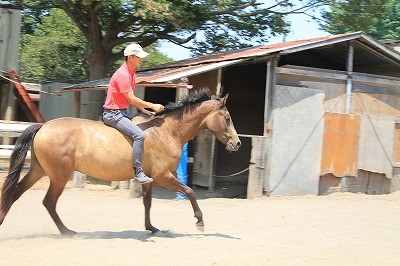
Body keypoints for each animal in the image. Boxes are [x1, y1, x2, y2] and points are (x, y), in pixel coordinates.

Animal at [0, 88, 241, 235]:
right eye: (227, 118)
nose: (237, 143)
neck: (166, 131)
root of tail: (43, 126)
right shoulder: (163, 176)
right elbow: (190, 192)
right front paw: (200, 221)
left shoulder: (150, 179)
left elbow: (147, 203)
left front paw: (152, 228)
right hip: (59, 176)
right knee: (48, 202)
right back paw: (67, 232)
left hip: (38, 171)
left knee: (15, 193)